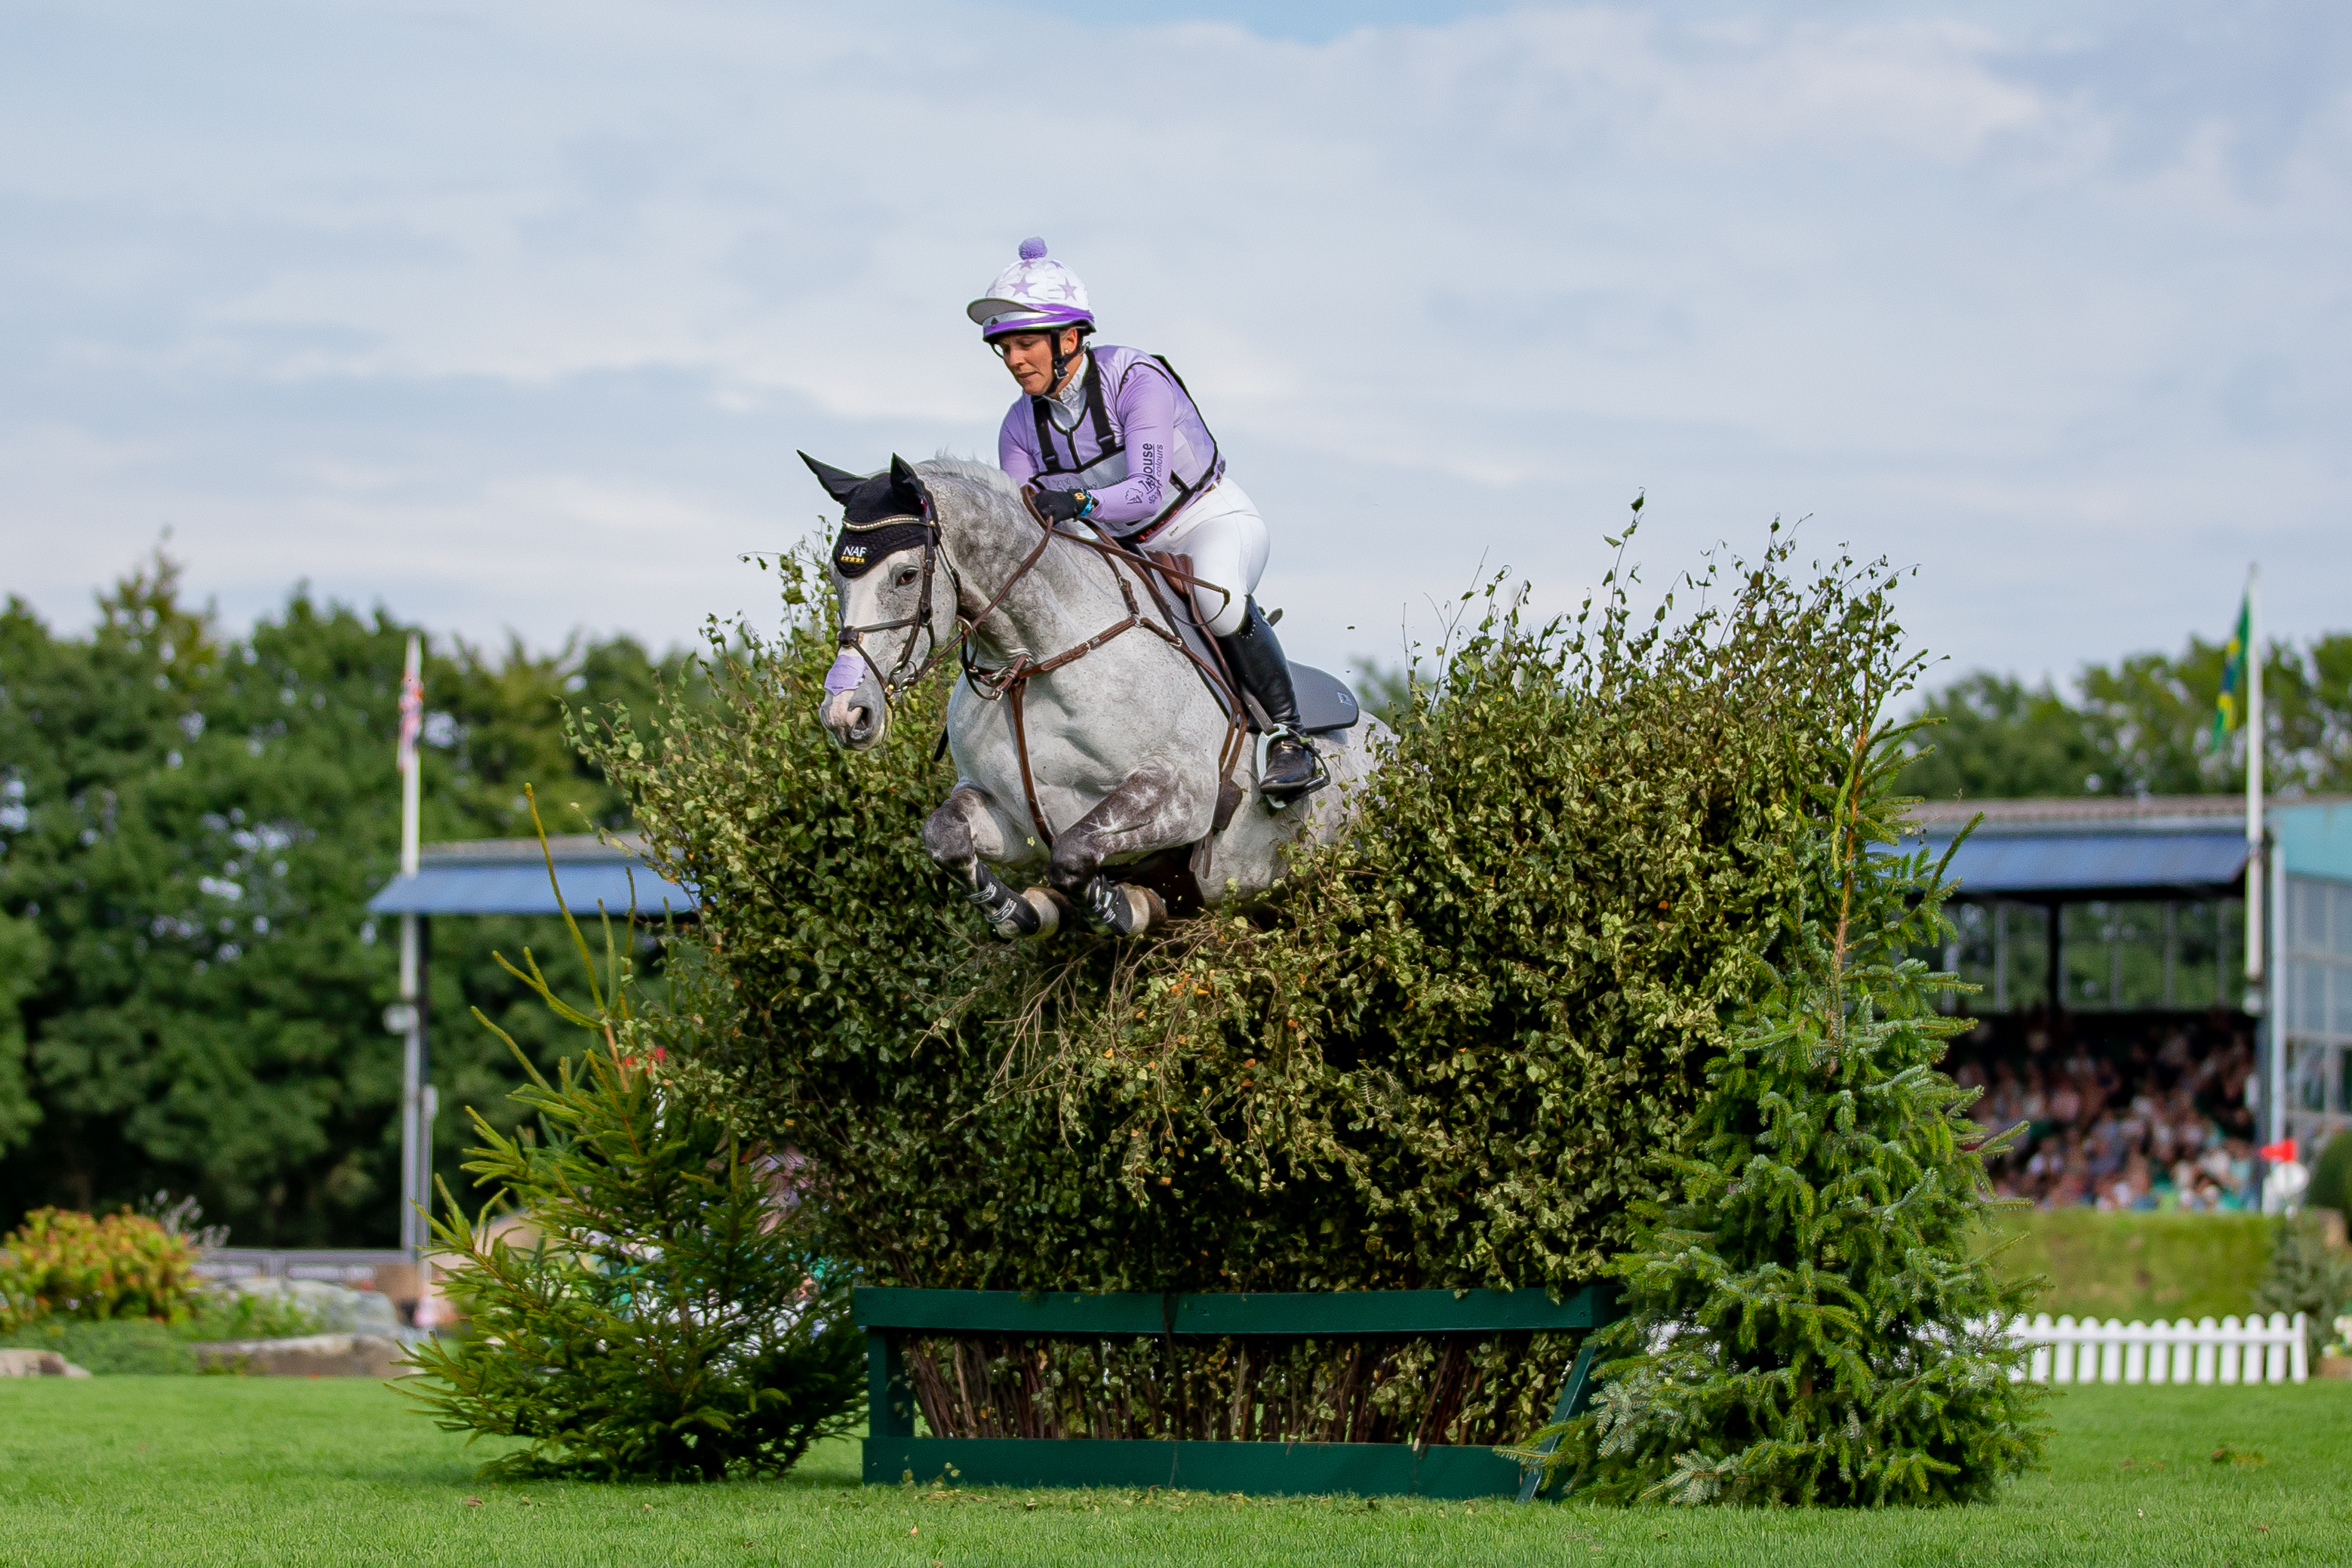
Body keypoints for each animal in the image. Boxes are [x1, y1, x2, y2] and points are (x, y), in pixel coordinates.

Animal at [809, 460, 1382, 940]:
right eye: (838, 576)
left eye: (906, 576)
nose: (845, 713)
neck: (1032, 662)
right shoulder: (1010, 816)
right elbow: (944, 838)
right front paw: (1018, 913)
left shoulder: (1185, 795)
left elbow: (1073, 852)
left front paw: (1124, 908)